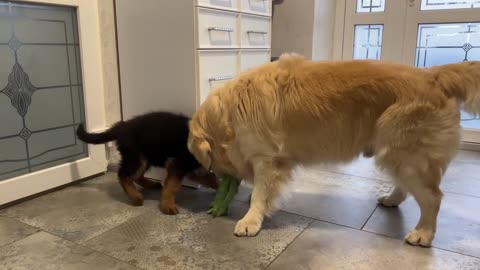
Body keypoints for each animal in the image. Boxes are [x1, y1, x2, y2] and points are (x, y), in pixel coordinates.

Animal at [77, 110, 218, 214]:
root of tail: (122, 126)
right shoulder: (179, 164)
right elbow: (171, 185)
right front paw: (167, 205)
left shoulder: (193, 169)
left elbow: (210, 178)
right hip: (137, 157)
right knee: (123, 175)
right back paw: (135, 196)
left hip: (146, 157)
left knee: (136, 176)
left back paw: (150, 184)